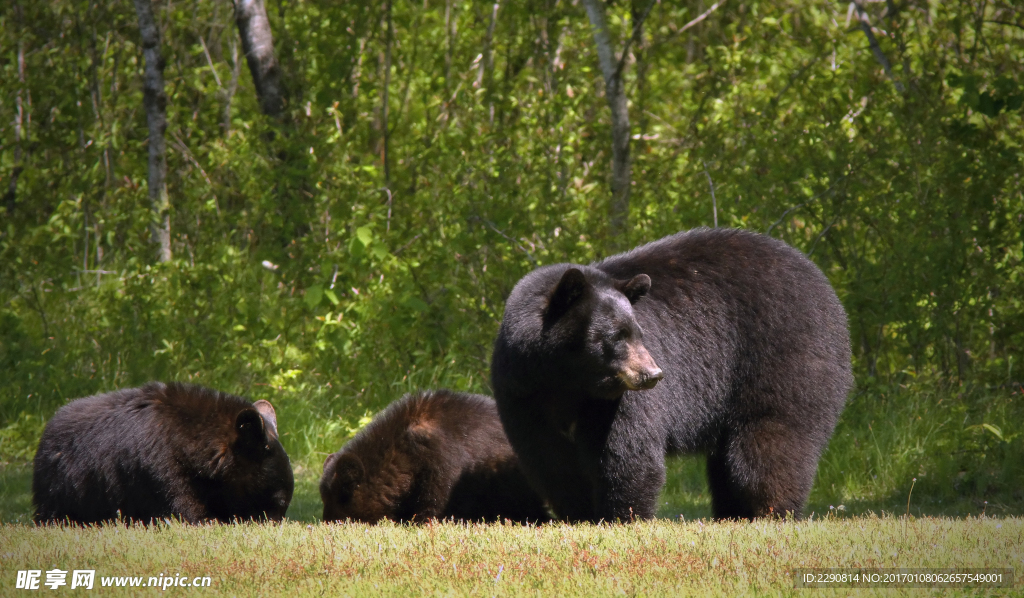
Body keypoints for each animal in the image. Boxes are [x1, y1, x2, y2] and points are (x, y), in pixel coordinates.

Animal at [491, 228, 853, 522]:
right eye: (615, 336)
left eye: (638, 332)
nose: (653, 374)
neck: (568, 381)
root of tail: (824, 285)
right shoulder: (522, 392)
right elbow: (549, 459)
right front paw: (578, 514)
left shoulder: (617, 400)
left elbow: (626, 451)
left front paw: (623, 516)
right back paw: (732, 513)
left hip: (783, 358)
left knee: (769, 440)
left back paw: (771, 510)